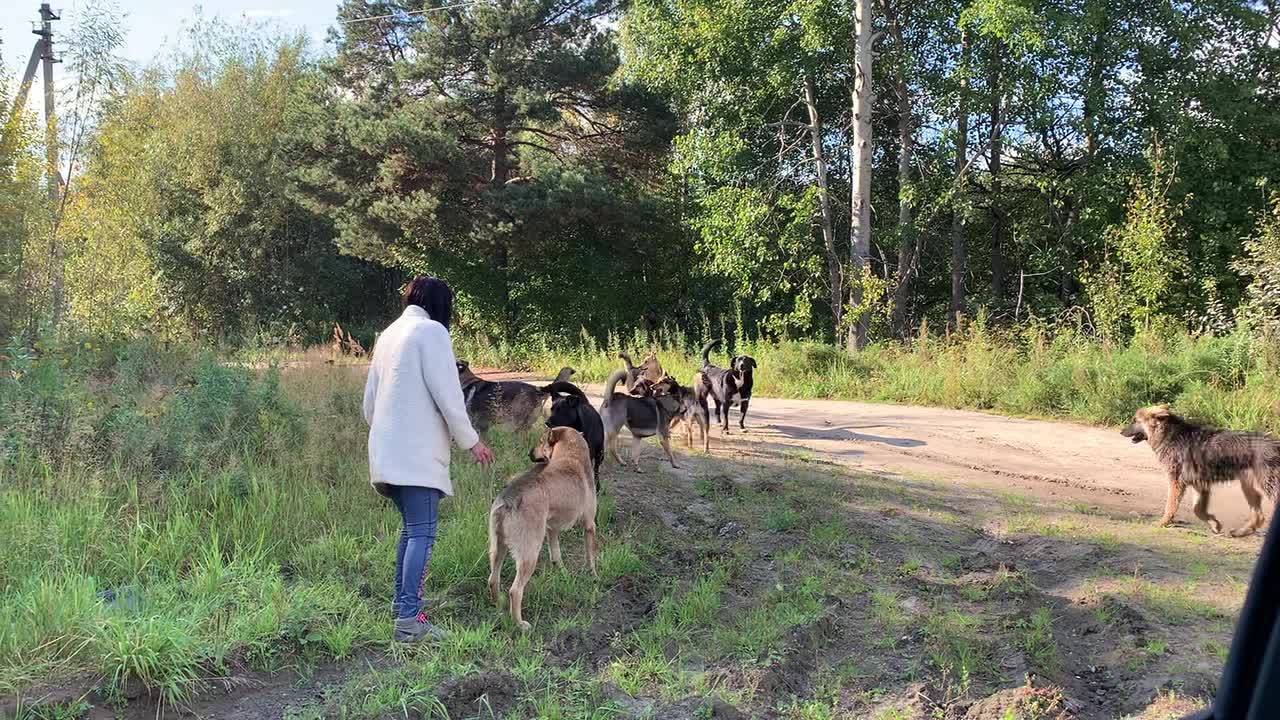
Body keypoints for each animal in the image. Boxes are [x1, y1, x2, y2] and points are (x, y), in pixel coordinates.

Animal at [486, 422, 596, 630]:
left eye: (540, 441)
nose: (529, 453)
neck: (571, 455)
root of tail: (509, 498)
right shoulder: (589, 526)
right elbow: (590, 557)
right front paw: (593, 575)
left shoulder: (552, 529)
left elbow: (556, 555)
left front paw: (562, 573)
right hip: (530, 554)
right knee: (515, 590)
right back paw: (520, 624)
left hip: (498, 547)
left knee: (493, 579)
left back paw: (498, 606)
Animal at [1126, 404, 1274, 532]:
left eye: (1135, 420)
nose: (1122, 431)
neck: (1171, 436)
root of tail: (1274, 443)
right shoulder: (1199, 485)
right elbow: (1197, 510)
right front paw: (1214, 523)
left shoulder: (1177, 482)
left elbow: (1170, 506)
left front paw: (1162, 523)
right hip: (1248, 486)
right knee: (1259, 514)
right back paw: (1242, 532)